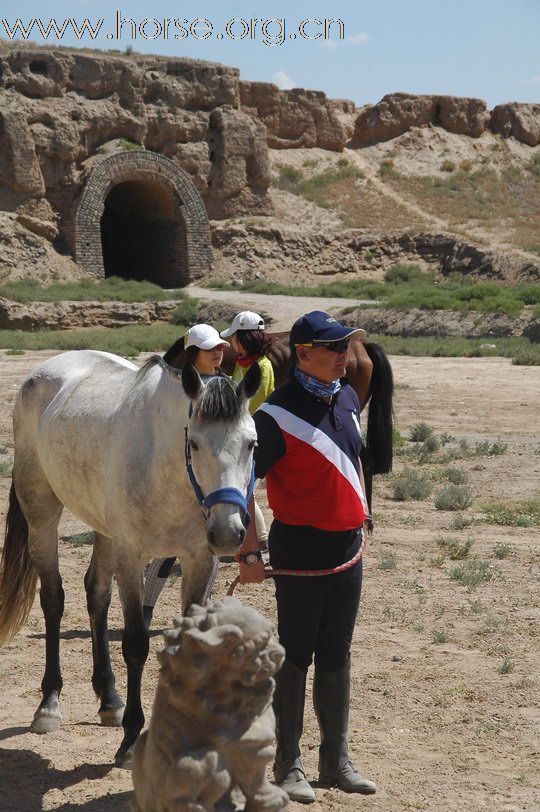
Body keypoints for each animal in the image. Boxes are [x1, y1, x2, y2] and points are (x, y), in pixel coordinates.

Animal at [0, 352, 262, 764]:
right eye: (195, 443)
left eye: (251, 443)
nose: (227, 531)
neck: (167, 474)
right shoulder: (131, 558)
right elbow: (136, 644)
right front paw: (130, 737)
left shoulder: (199, 562)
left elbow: (190, 643)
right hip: (42, 512)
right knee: (54, 597)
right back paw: (49, 703)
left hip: (104, 531)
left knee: (96, 595)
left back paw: (109, 699)